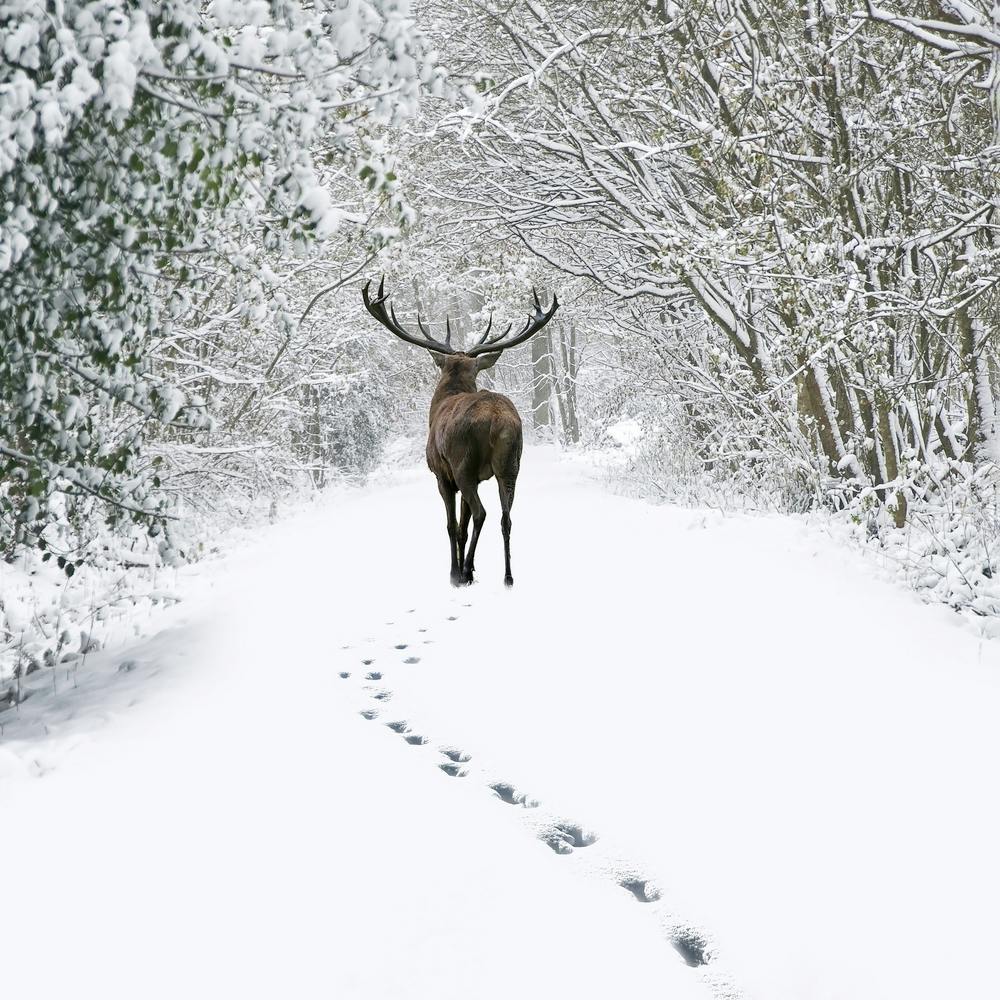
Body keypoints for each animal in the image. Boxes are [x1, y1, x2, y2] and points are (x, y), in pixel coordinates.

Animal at [361, 278, 559, 588]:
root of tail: (498, 421)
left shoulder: (442, 475)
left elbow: (452, 524)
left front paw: (455, 572)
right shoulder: (478, 477)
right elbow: (463, 526)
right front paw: (472, 567)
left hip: (463, 463)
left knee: (481, 513)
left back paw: (463, 572)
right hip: (510, 465)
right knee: (505, 517)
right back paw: (507, 576)